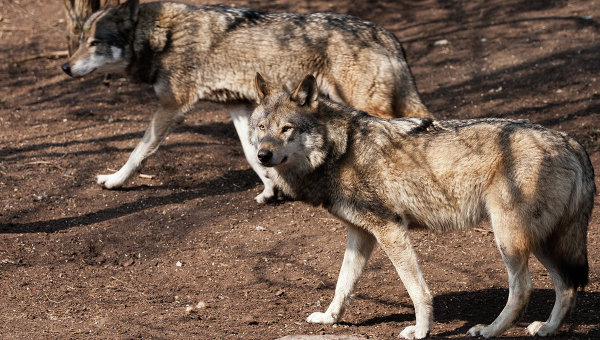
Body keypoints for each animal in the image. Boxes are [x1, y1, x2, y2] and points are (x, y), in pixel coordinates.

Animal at [59, 0, 432, 202]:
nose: (65, 67)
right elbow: (252, 154)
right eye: (79, 42)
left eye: (94, 43)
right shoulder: (238, 107)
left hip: (369, 105)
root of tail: (387, 34)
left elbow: (138, 152)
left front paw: (114, 180)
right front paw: (270, 189)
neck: (162, 38)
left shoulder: (172, 108)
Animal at [250, 73, 596, 338]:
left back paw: (489, 330)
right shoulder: (360, 235)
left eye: (286, 128)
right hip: (541, 242)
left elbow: (417, 290)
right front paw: (329, 318)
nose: (262, 156)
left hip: (510, 240)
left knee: (523, 290)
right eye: (261, 128)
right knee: (567, 286)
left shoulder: (391, 230)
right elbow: (342, 285)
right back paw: (547, 328)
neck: (341, 150)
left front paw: (420, 330)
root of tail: (570, 141)